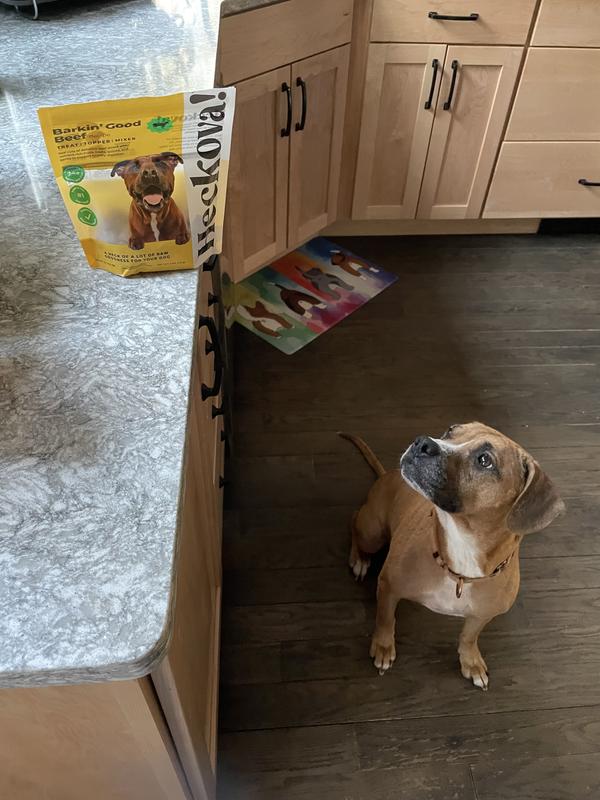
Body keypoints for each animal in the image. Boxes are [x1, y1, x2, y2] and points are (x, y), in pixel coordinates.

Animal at [341, 422, 565, 690]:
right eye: (451, 431)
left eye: (485, 460)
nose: (422, 442)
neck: (462, 558)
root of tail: (387, 475)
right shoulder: (388, 587)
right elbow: (386, 619)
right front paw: (383, 647)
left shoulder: (483, 614)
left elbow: (469, 636)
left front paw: (471, 661)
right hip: (372, 531)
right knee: (354, 519)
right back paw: (359, 560)